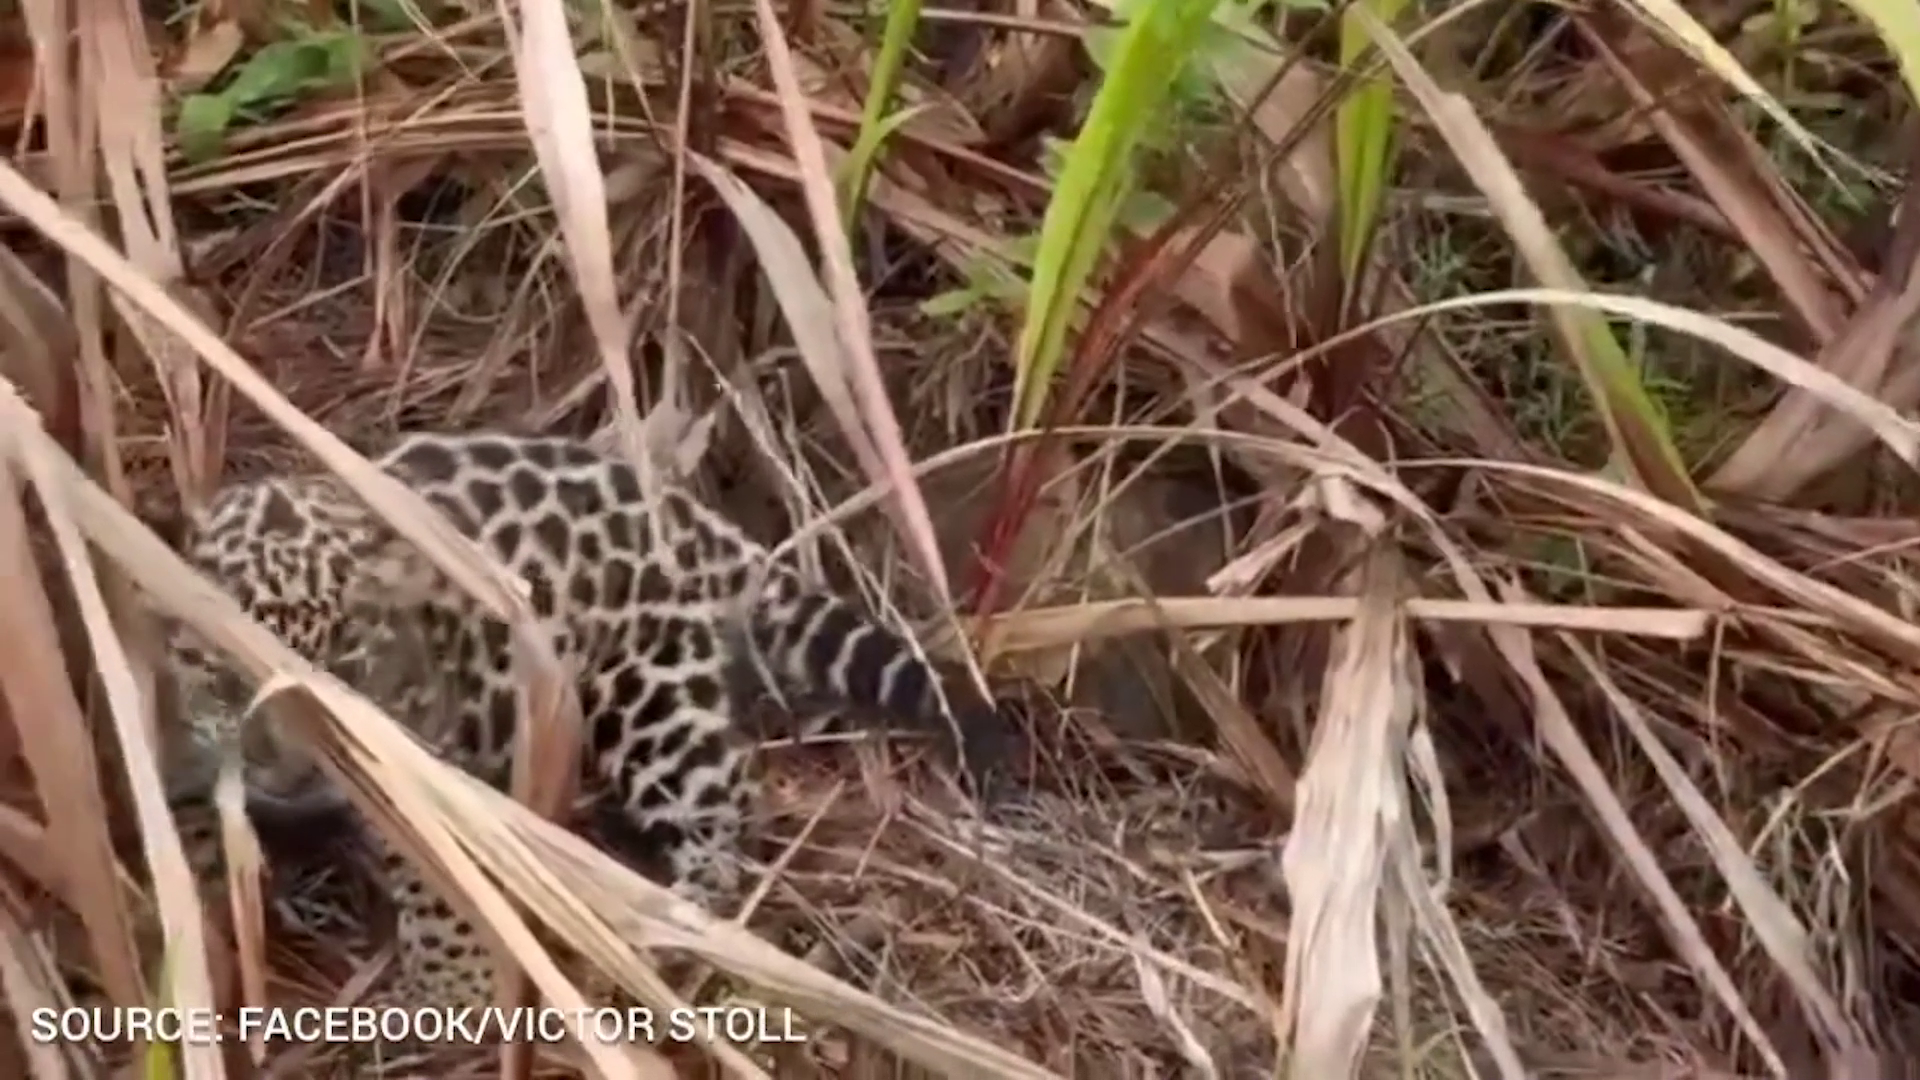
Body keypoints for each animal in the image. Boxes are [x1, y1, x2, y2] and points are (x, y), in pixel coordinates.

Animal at [154, 430, 1012, 1016]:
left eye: (346, 671)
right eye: (220, 675)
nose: (292, 769)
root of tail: (691, 519)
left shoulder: (421, 758)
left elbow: (440, 872)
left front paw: (448, 989)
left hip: (649, 693)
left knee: (727, 807)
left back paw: (662, 931)